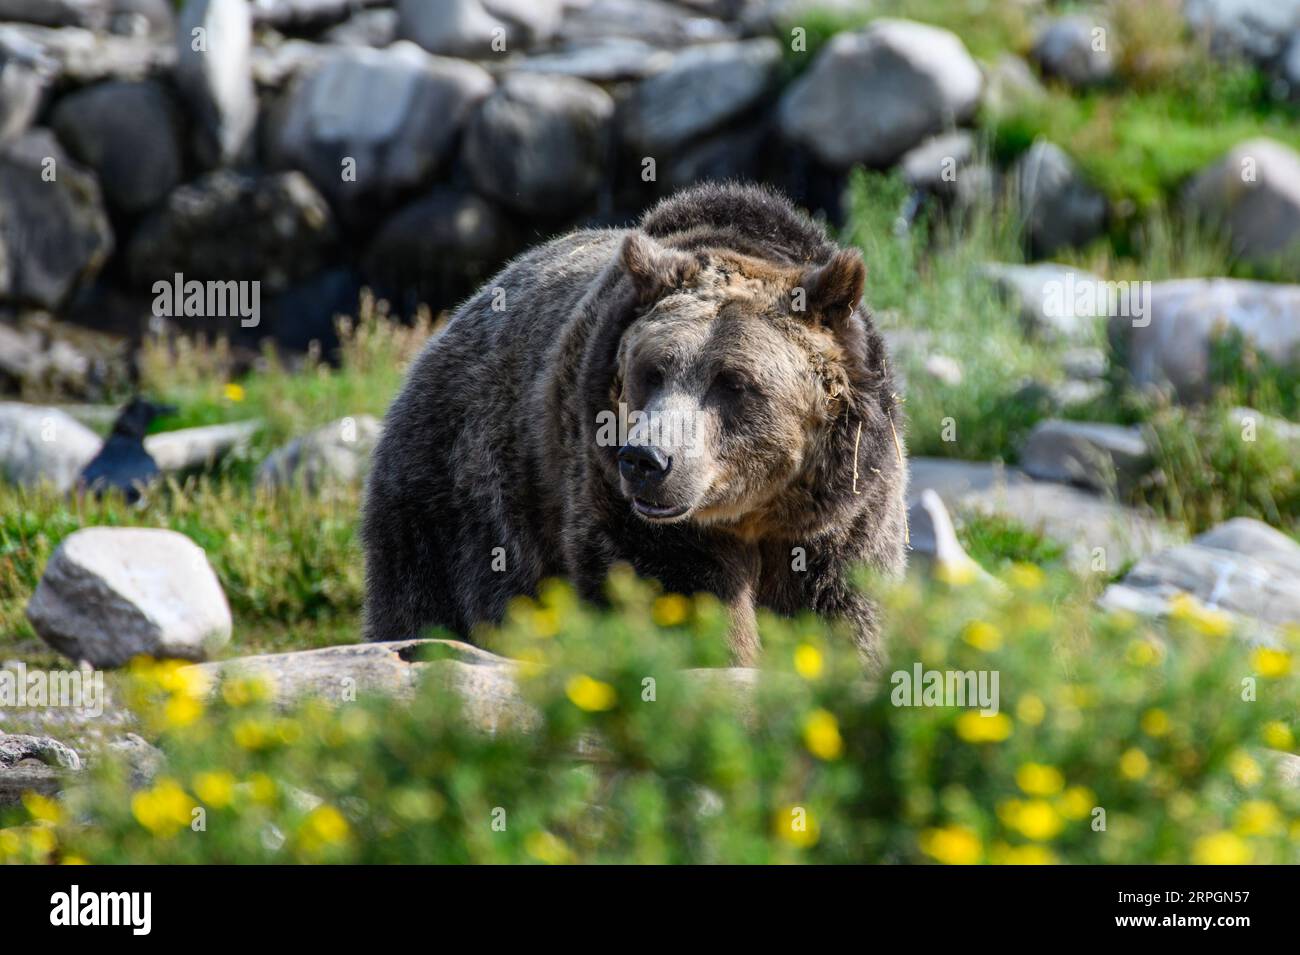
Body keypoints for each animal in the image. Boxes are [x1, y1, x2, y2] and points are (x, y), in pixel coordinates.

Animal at [361, 184, 909, 665]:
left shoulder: (839, 516)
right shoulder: (620, 499)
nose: (647, 460)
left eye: (733, 382)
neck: (756, 512)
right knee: (430, 597)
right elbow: (682, 595)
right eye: (652, 371)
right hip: (464, 498)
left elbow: (840, 612)